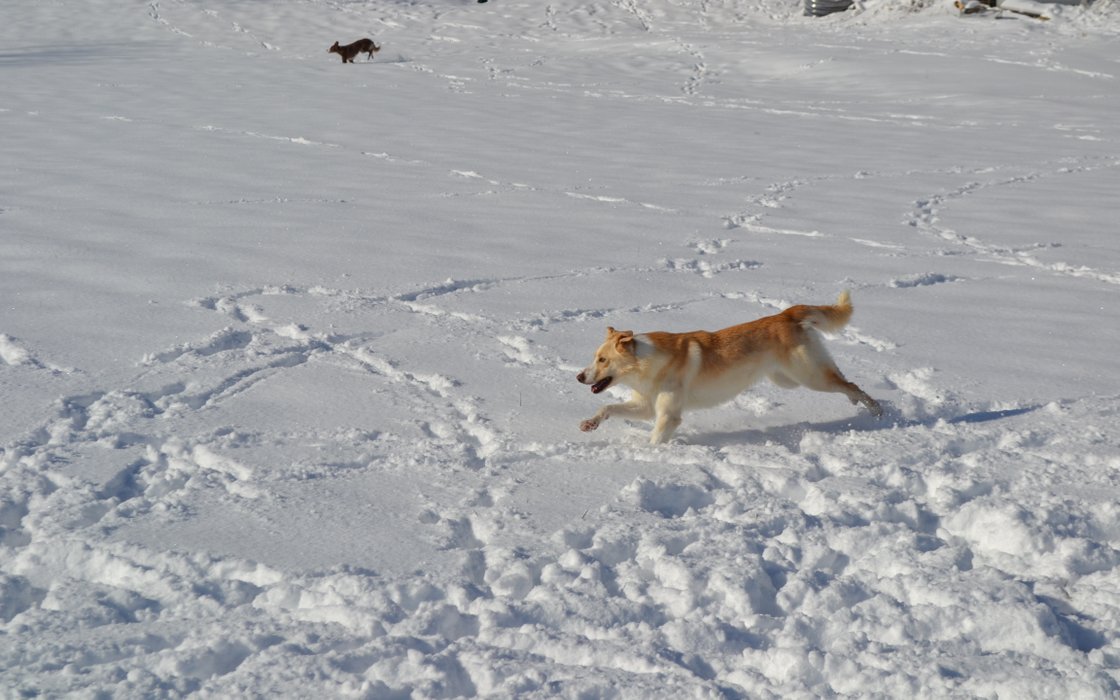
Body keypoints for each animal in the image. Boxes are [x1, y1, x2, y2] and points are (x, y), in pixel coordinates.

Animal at [577, 291, 882, 445]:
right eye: (595, 357)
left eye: (602, 360)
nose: (579, 376)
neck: (646, 363)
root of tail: (786, 314)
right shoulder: (646, 407)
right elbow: (608, 407)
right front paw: (590, 424)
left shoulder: (668, 416)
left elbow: (654, 440)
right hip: (788, 379)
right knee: (845, 382)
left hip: (810, 376)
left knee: (850, 384)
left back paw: (877, 411)